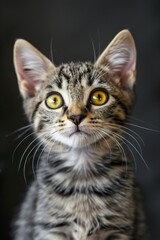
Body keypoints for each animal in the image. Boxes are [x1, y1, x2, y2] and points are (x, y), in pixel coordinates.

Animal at [13, 30, 147, 240]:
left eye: (99, 97)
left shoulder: (119, 228)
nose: (76, 116)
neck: (83, 178)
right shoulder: (49, 228)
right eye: (54, 100)